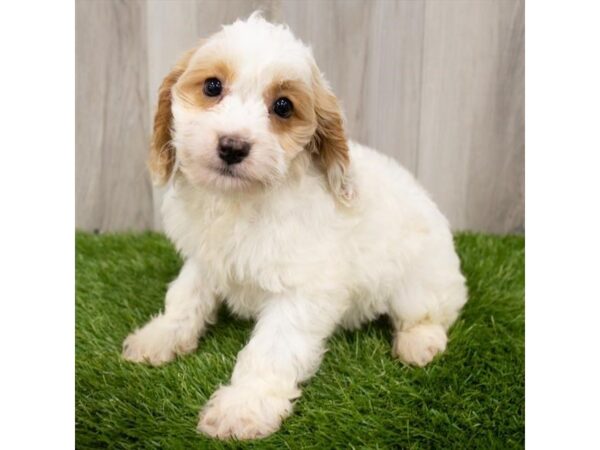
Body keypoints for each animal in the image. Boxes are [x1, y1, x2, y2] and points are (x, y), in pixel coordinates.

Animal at [123, 13, 468, 440]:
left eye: (283, 106)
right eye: (212, 87)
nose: (232, 146)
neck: (242, 200)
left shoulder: (303, 292)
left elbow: (271, 350)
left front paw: (243, 406)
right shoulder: (205, 261)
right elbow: (186, 297)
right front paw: (161, 335)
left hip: (422, 283)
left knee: (431, 313)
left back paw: (419, 343)